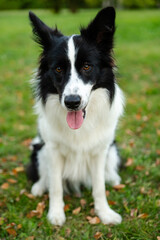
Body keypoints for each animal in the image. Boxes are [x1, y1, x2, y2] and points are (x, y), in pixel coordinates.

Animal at [27, 7, 124, 225]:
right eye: (58, 69)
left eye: (87, 66)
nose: (72, 102)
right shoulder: (53, 150)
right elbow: (55, 186)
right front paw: (55, 214)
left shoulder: (99, 151)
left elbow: (99, 187)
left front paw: (105, 213)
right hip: (39, 148)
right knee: (44, 175)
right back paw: (38, 187)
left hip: (112, 148)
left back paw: (113, 178)